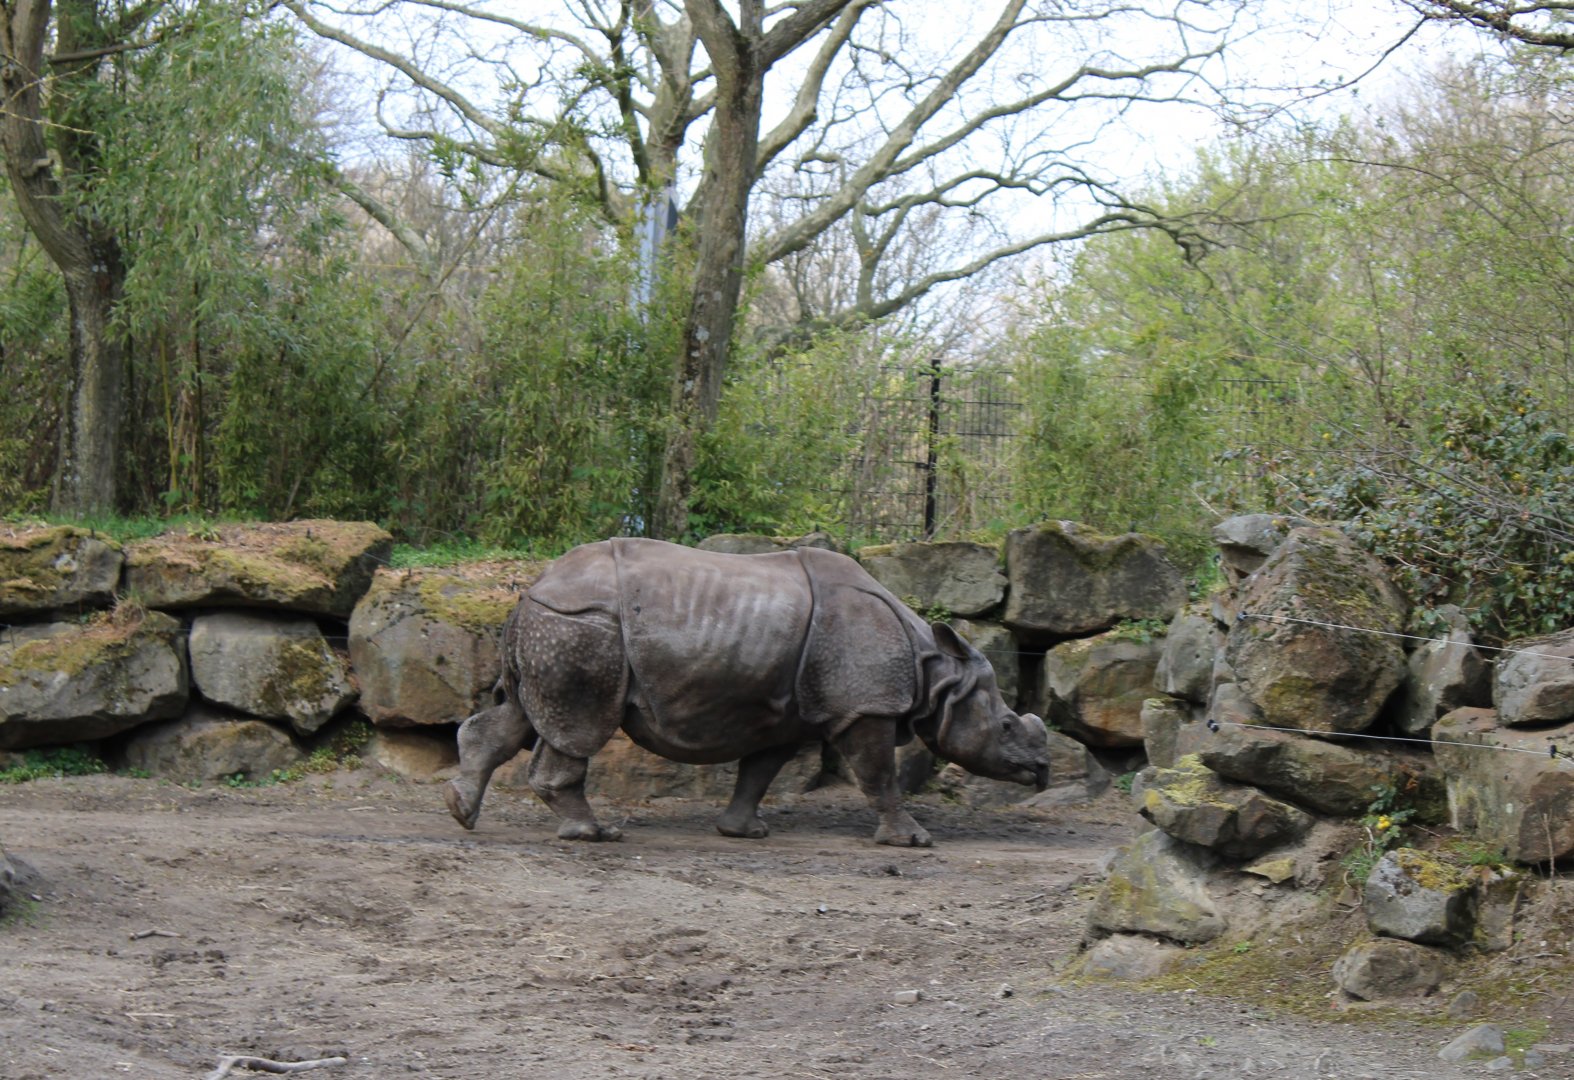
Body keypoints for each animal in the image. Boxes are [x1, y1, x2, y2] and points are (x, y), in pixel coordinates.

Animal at [444, 538, 1049, 846]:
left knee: (524, 715)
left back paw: (461, 812)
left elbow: (760, 770)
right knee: (578, 726)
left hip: (554, 627)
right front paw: (912, 840)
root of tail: (531, 589)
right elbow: (879, 774)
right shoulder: (865, 707)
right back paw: (594, 834)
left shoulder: (791, 713)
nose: (1041, 771)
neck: (936, 672)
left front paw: (742, 831)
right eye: (1005, 726)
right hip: (581, 627)